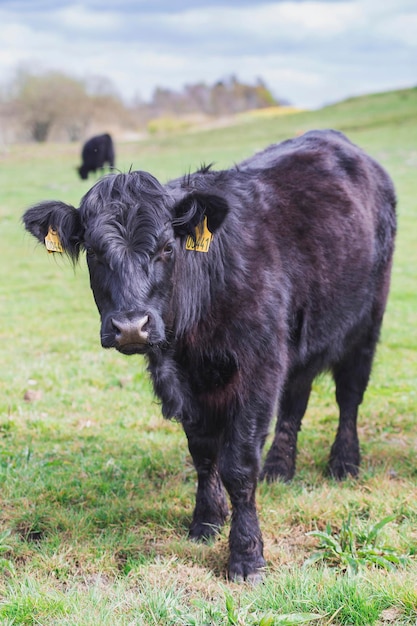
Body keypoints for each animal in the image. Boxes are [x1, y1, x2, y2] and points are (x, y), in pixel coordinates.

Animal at [23, 130, 396, 580]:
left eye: (167, 248)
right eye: (94, 253)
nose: (130, 326)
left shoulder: (258, 369)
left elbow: (238, 465)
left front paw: (247, 554)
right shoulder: (186, 381)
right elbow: (203, 454)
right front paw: (206, 520)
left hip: (366, 323)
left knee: (349, 396)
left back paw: (343, 464)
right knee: (296, 399)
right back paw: (279, 469)